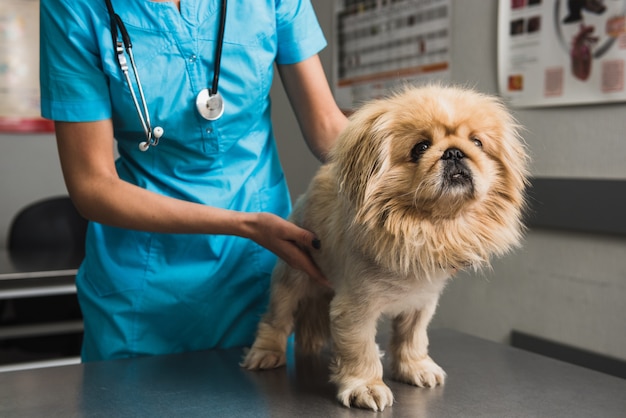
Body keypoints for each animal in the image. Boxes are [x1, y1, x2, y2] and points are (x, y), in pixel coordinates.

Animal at [240, 85, 528, 412]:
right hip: (290, 280)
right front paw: (365, 387)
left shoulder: (421, 302)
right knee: (275, 320)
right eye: (420, 148)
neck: (423, 226)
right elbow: (359, 350)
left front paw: (416, 368)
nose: (454, 152)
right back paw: (266, 353)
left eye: (477, 142)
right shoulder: (354, 309)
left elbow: (412, 339)